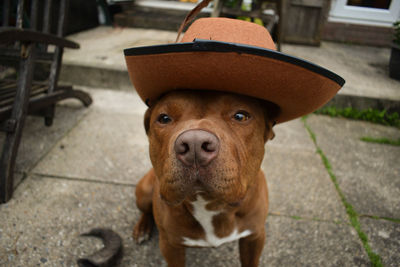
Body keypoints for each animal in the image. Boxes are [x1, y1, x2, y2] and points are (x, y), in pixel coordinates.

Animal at [134, 90, 278, 267]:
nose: (194, 144)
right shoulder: (170, 245)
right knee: (145, 210)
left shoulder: (254, 237)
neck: (210, 203)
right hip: (145, 191)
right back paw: (142, 228)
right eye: (164, 118)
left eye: (241, 116)